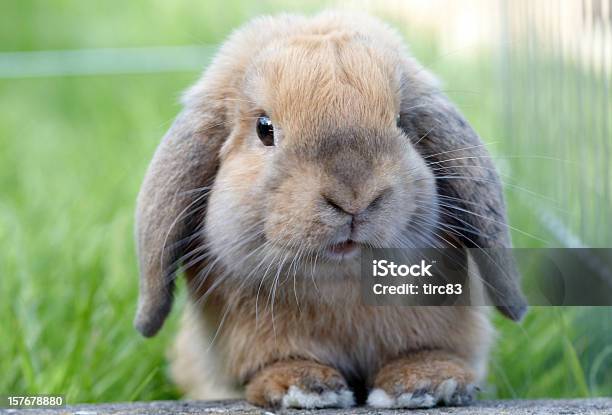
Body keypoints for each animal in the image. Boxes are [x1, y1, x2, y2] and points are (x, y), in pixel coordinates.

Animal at [133, 11, 524, 412]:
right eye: (264, 128)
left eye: (402, 121)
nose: (354, 197)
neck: (341, 283)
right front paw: (304, 387)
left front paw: (426, 383)